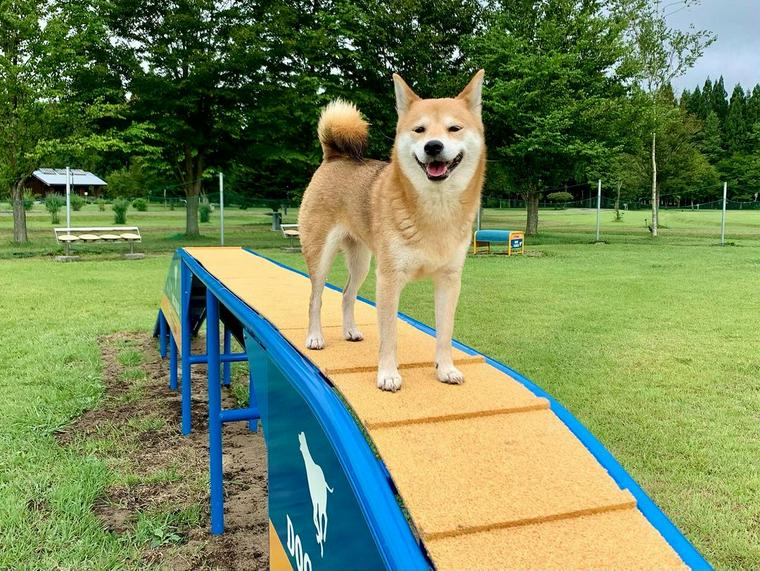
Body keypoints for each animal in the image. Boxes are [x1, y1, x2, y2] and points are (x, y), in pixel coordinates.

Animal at [298, 70, 486, 394]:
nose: (433, 146)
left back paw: (350, 331)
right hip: (321, 256)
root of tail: (334, 157)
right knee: (315, 298)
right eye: (419, 129)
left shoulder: (449, 280)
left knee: (347, 295)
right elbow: (389, 334)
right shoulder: (388, 278)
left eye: (454, 128)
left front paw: (446, 369)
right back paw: (315, 337)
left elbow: (445, 332)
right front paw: (387, 374)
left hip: (361, 262)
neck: (435, 212)